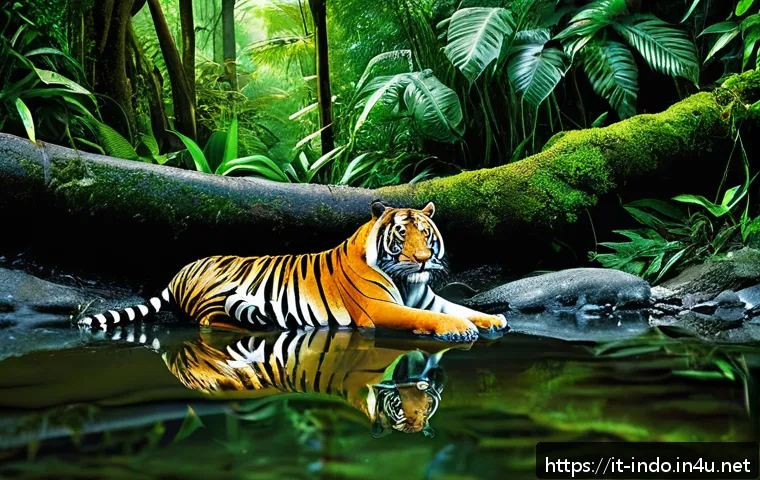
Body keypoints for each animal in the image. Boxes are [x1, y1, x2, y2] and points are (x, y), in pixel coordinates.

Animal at [78, 201, 507, 342]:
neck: (408, 281)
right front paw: (457, 330)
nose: (421, 259)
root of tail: (180, 271)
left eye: (425, 233)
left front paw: (493, 320)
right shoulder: (379, 309)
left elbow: (460, 307)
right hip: (218, 294)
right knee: (210, 322)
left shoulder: (431, 297)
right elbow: (424, 317)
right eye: (402, 234)